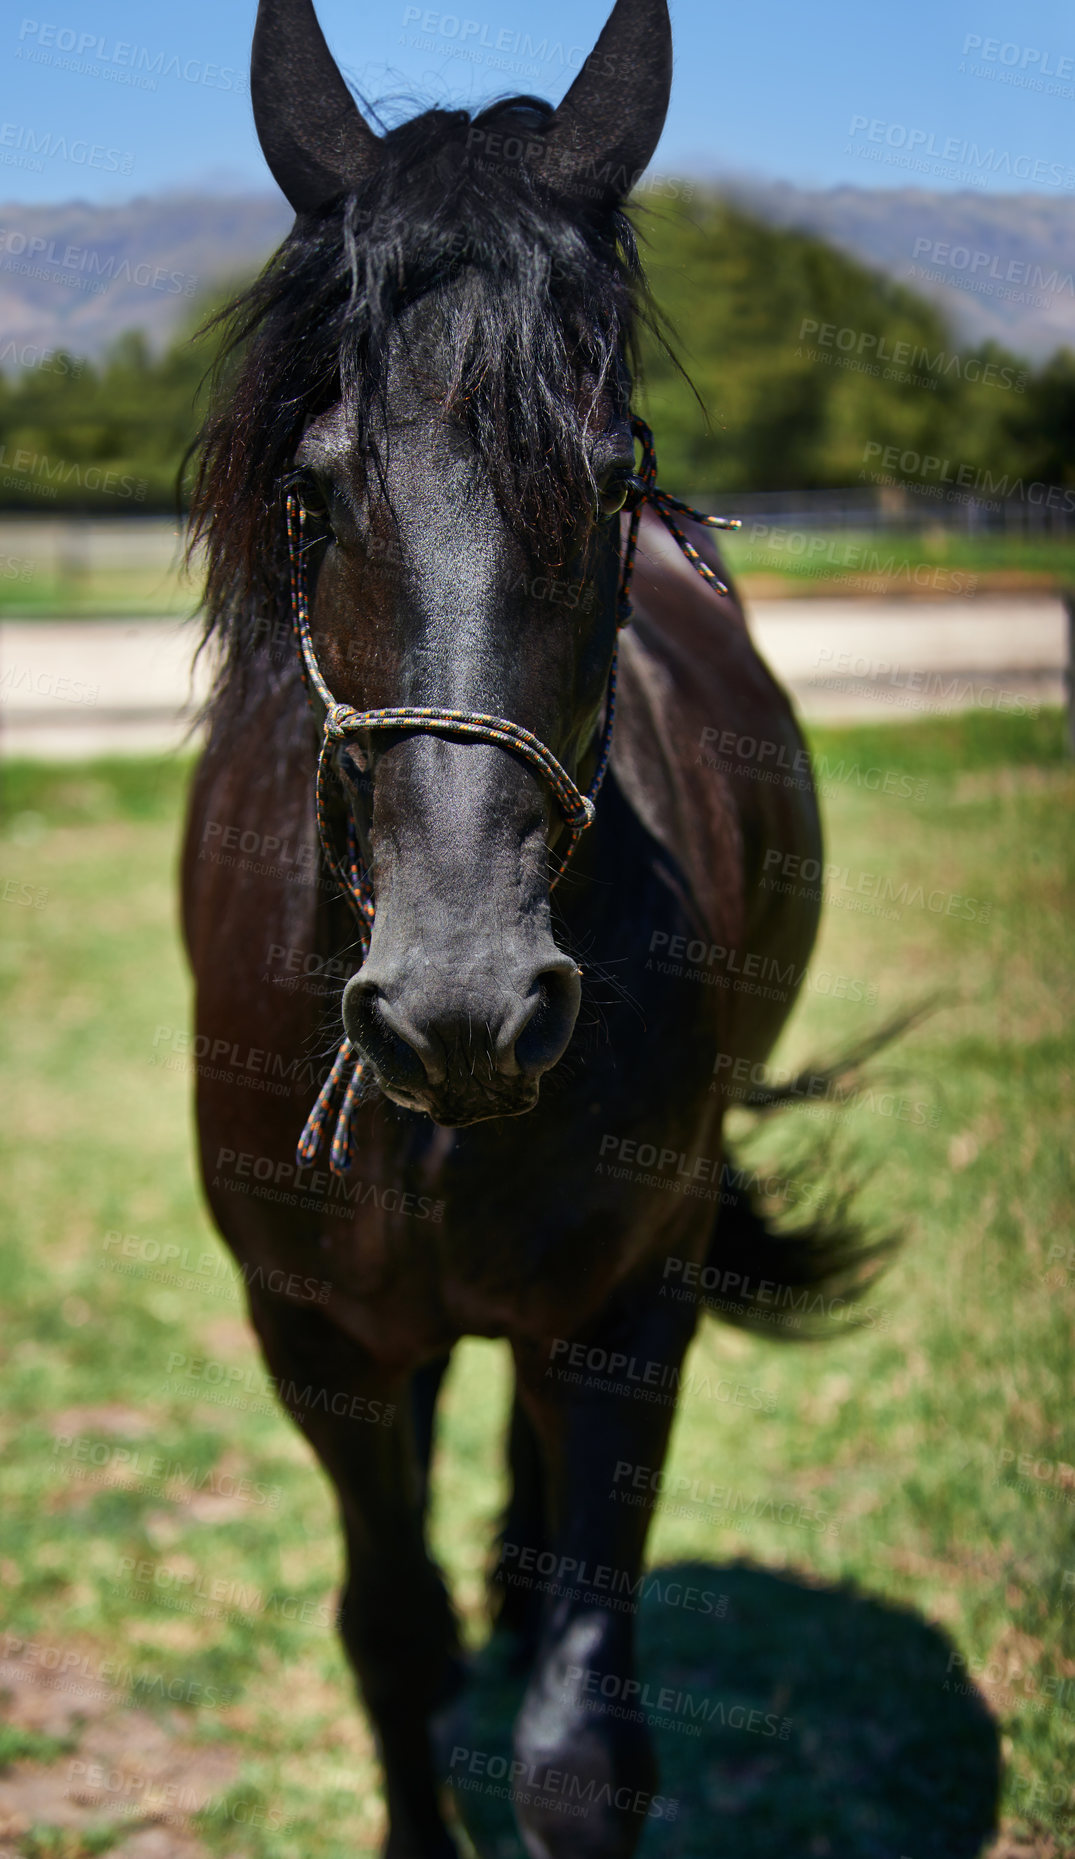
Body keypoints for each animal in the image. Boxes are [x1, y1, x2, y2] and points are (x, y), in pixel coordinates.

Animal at [182, 7, 870, 1851]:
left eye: (614, 471)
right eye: (313, 490)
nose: (463, 1003)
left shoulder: (632, 1305)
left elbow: (578, 1741)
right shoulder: (310, 1332)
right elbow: (388, 1635)